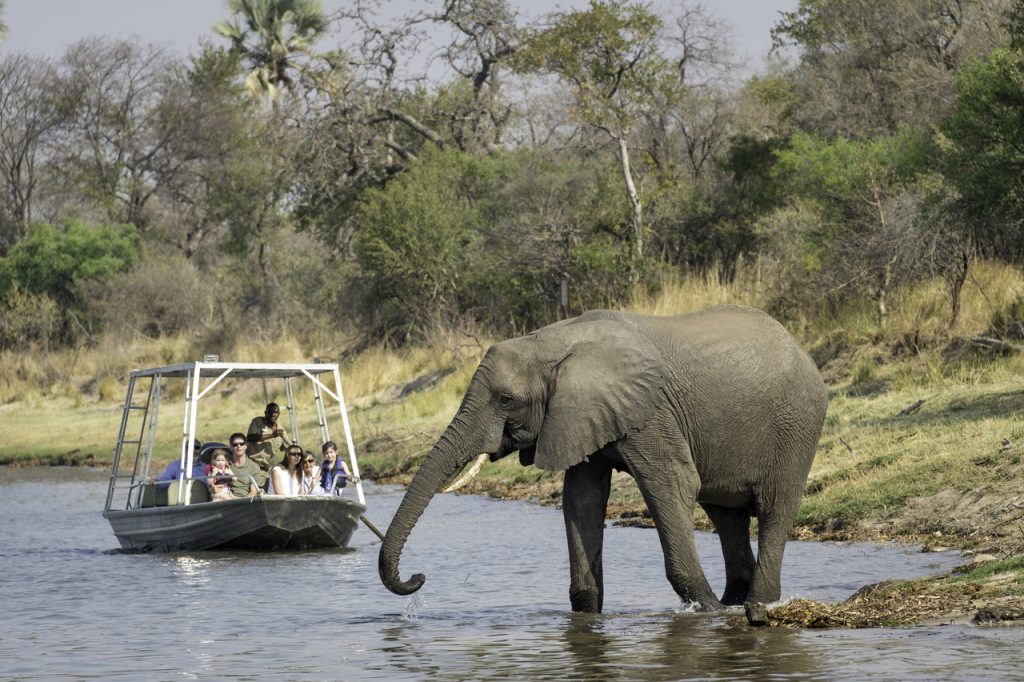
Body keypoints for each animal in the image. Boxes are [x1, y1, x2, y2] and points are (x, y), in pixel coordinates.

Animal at [380, 305, 827, 614]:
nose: (419, 577)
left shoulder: (651, 412)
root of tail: (801, 349)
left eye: (505, 400)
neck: (553, 342)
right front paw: (587, 614)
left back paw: (755, 605)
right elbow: (582, 499)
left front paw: (707, 612)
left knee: (774, 507)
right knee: (724, 514)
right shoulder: (578, 415)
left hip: (798, 426)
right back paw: (735, 600)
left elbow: (672, 485)